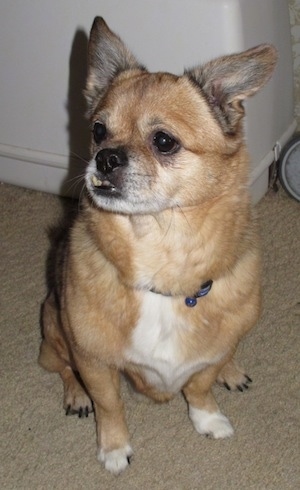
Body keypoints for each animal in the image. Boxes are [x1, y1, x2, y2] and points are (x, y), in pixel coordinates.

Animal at [38, 17, 278, 472]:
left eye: (163, 141)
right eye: (98, 131)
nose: (105, 158)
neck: (162, 264)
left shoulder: (210, 355)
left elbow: (200, 385)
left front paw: (207, 418)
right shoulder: (93, 361)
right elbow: (109, 404)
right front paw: (114, 447)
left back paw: (231, 370)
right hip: (54, 329)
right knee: (61, 368)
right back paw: (75, 396)